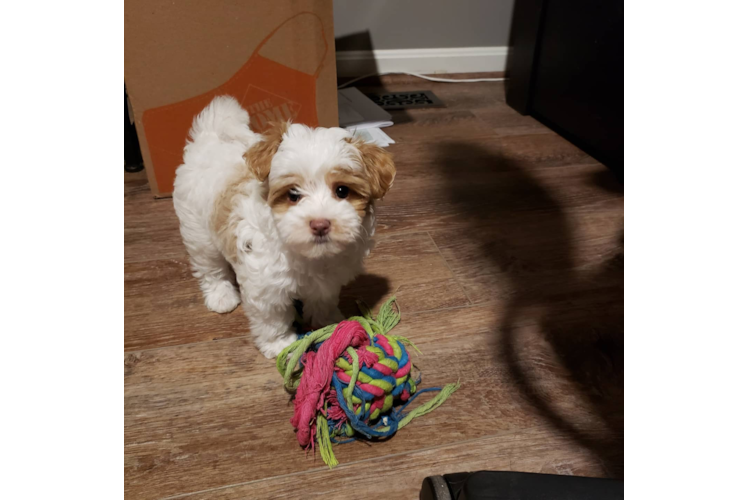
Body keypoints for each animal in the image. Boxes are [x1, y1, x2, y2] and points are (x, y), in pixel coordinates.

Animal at [174, 94, 398, 360]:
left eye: (342, 191)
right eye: (293, 195)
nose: (320, 224)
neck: (308, 254)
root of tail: (209, 137)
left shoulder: (328, 280)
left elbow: (322, 300)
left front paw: (328, 323)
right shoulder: (265, 286)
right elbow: (272, 318)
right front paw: (279, 344)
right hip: (198, 230)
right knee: (209, 266)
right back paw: (221, 295)